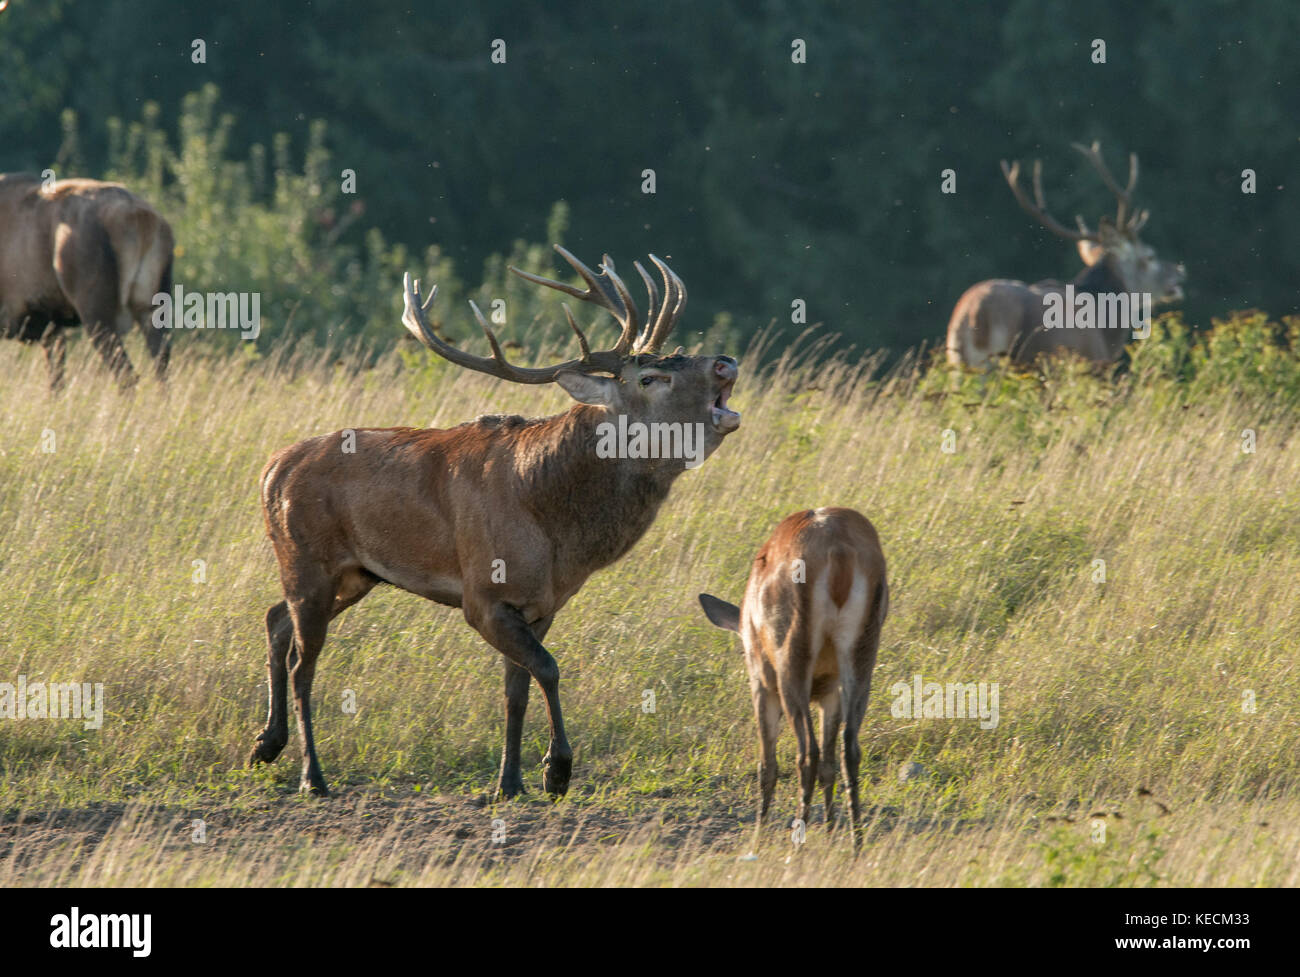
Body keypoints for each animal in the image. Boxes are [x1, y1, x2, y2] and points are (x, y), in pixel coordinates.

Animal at [0, 173, 173, 389]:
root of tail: (139, 218)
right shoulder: (53, 327)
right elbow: (56, 380)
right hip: (153, 308)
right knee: (162, 371)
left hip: (95, 310)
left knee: (127, 374)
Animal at [250, 245, 741, 798]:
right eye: (650, 378)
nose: (725, 363)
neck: (555, 530)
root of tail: (272, 468)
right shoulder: (483, 595)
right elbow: (548, 669)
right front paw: (556, 771)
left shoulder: (542, 604)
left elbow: (516, 687)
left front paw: (510, 782)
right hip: (307, 558)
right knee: (302, 663)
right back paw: (312, 776)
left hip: (356, 574)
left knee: (275, 619)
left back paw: (265, 744)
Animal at [698, 507, 887, 847]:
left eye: (743, 652)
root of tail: (837, 545)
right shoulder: (829, 693)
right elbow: (829, 763)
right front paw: (830, 831)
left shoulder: (761, 686)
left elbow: (767, 764)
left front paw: (757, 837)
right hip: (861, 661)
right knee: (848, 750)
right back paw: (856, 844)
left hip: (790, 669)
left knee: (806, 754)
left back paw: (795, 846)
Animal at [946, 142, 1185, 368]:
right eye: (1150, 256)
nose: (1179, 271)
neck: (1106, 329)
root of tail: (975, 315)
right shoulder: (1095, 363)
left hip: (958, 362)